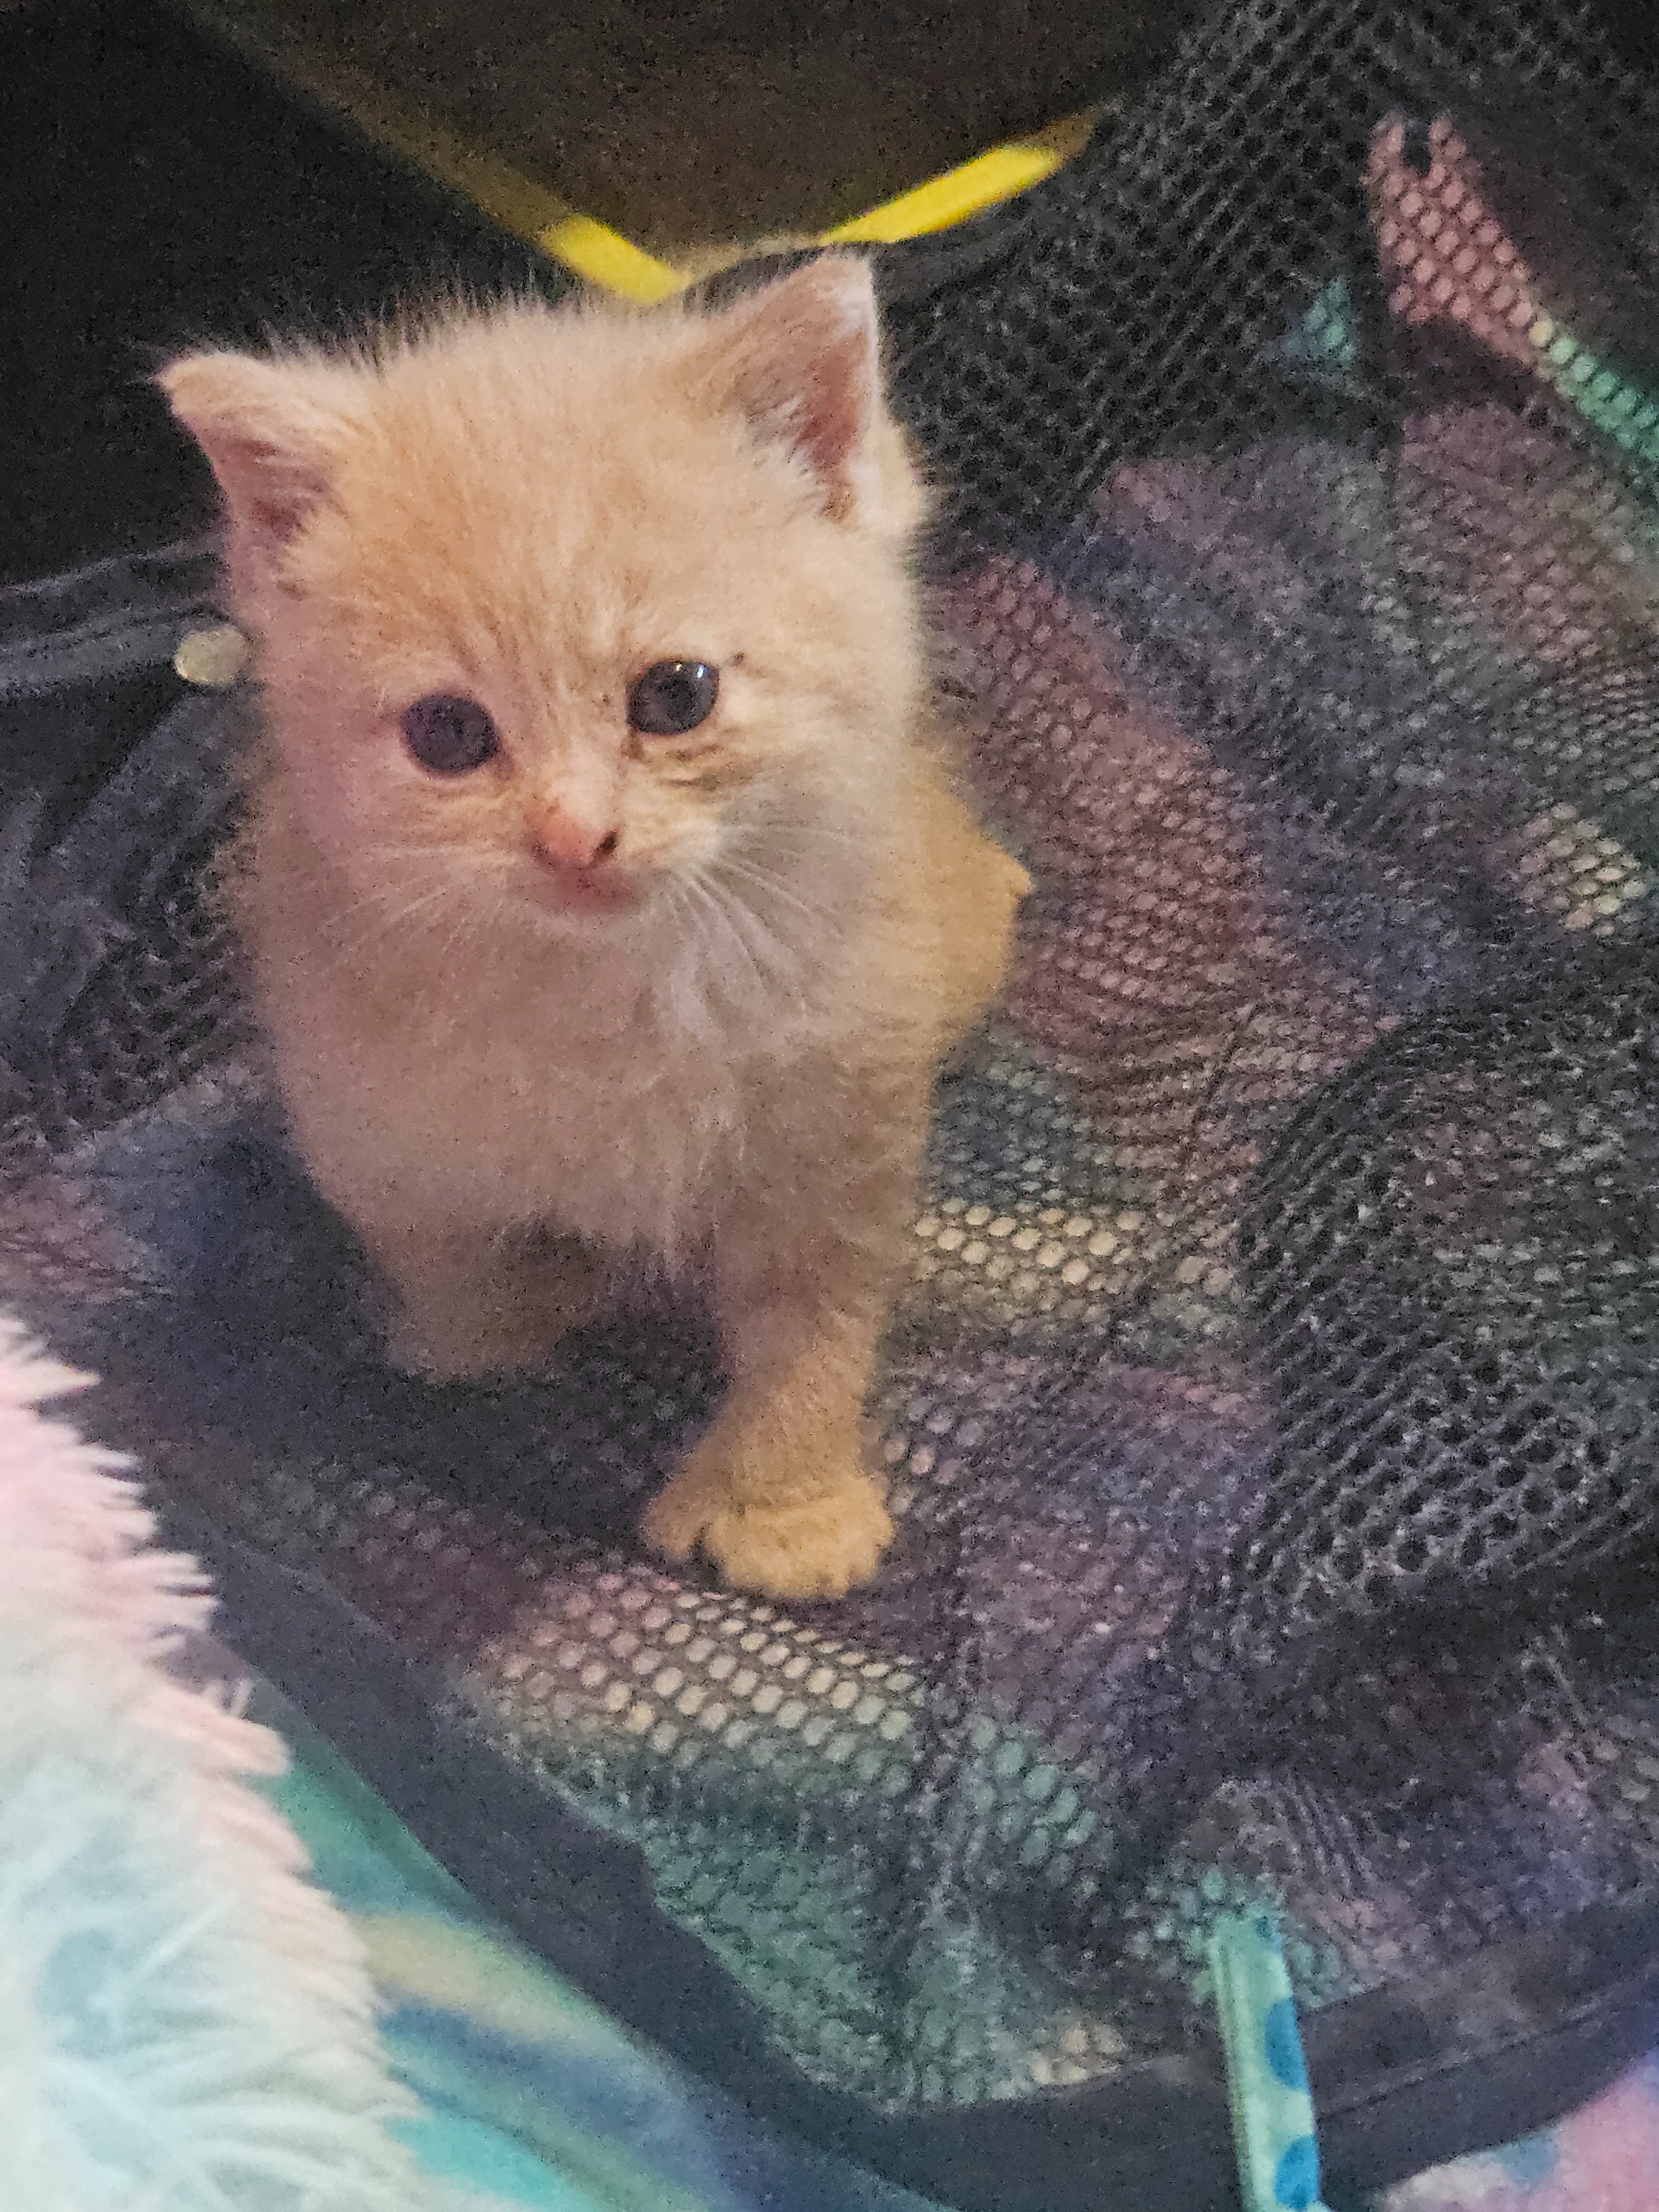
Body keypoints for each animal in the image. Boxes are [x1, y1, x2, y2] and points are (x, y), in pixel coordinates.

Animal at [160, 254, 1029, 1601]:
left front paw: (785, 1508)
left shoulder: (844, 1130)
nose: (576, 839)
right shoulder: (357, 1108)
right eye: (449, 733)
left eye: (676, 695)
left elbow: (818, 1319)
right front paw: (498, 1327)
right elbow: (440, 1246)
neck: (614, 993)